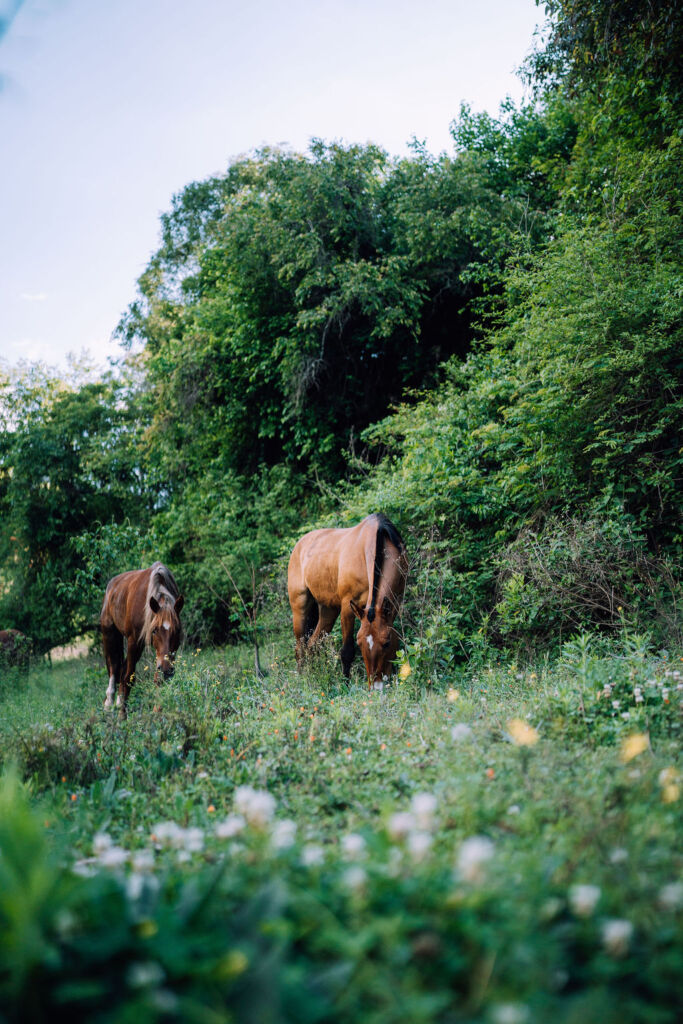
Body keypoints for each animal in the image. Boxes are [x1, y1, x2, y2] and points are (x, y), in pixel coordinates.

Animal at [100, 562, 184, 717]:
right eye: (155, 630)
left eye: (177, 631)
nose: (166, 668)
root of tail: (112, 585)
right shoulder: (134, 641)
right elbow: (129, 677)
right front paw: (122, 715)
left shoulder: (167, 653)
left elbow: (158, 678)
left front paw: (158, 710)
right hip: (110, 634)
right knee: (114, 668)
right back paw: (109, 704)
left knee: (121, 669)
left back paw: (119, 702)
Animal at [288, 513, 408, 687]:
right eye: (360, 643)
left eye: (386, 643)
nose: (376, 686)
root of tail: (299, 545)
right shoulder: (347, 607)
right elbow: (347, 651)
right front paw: (345, 684)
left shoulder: (395, 603)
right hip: (299, 607)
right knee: (300, 648)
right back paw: (302, 679)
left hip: (328, 610)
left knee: (312, 644)